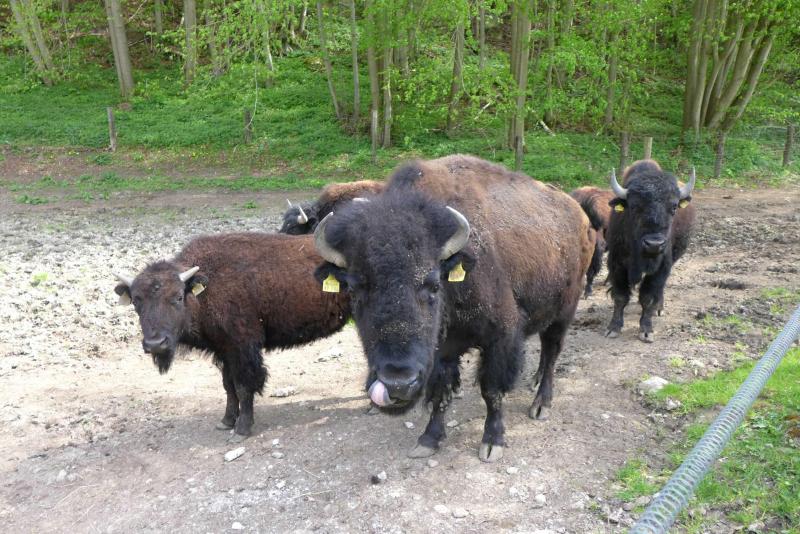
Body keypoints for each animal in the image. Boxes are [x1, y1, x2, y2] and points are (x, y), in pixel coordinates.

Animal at [113, 233, 350, 441]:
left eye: (178, 297)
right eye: (136, 301)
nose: (155, 344)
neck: (206, 287)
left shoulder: (243, 349)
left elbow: (244, 386)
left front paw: (241, 429)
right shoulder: (224, 351)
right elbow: (229, 386)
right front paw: (226, 421)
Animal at [313, 155, 594, 462]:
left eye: (434, 284)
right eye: (353, 288)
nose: (398, 383)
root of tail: (579, 214)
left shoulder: (501, 337)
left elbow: (491, 390)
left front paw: (492, 442)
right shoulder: (443, 349)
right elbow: (441, 391)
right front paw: (429, 439)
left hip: (565, 310)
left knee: (552, 351)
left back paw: (541, 404)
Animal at [604, 159, 696, 342]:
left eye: (673, 207)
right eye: (633, 206)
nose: (654, 244)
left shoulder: (662, 267)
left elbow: (648, 297)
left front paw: (646, 331)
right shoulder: (616, 264)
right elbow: (620, 296)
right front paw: (613, 328)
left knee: (659, 290)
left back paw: (659, 308)